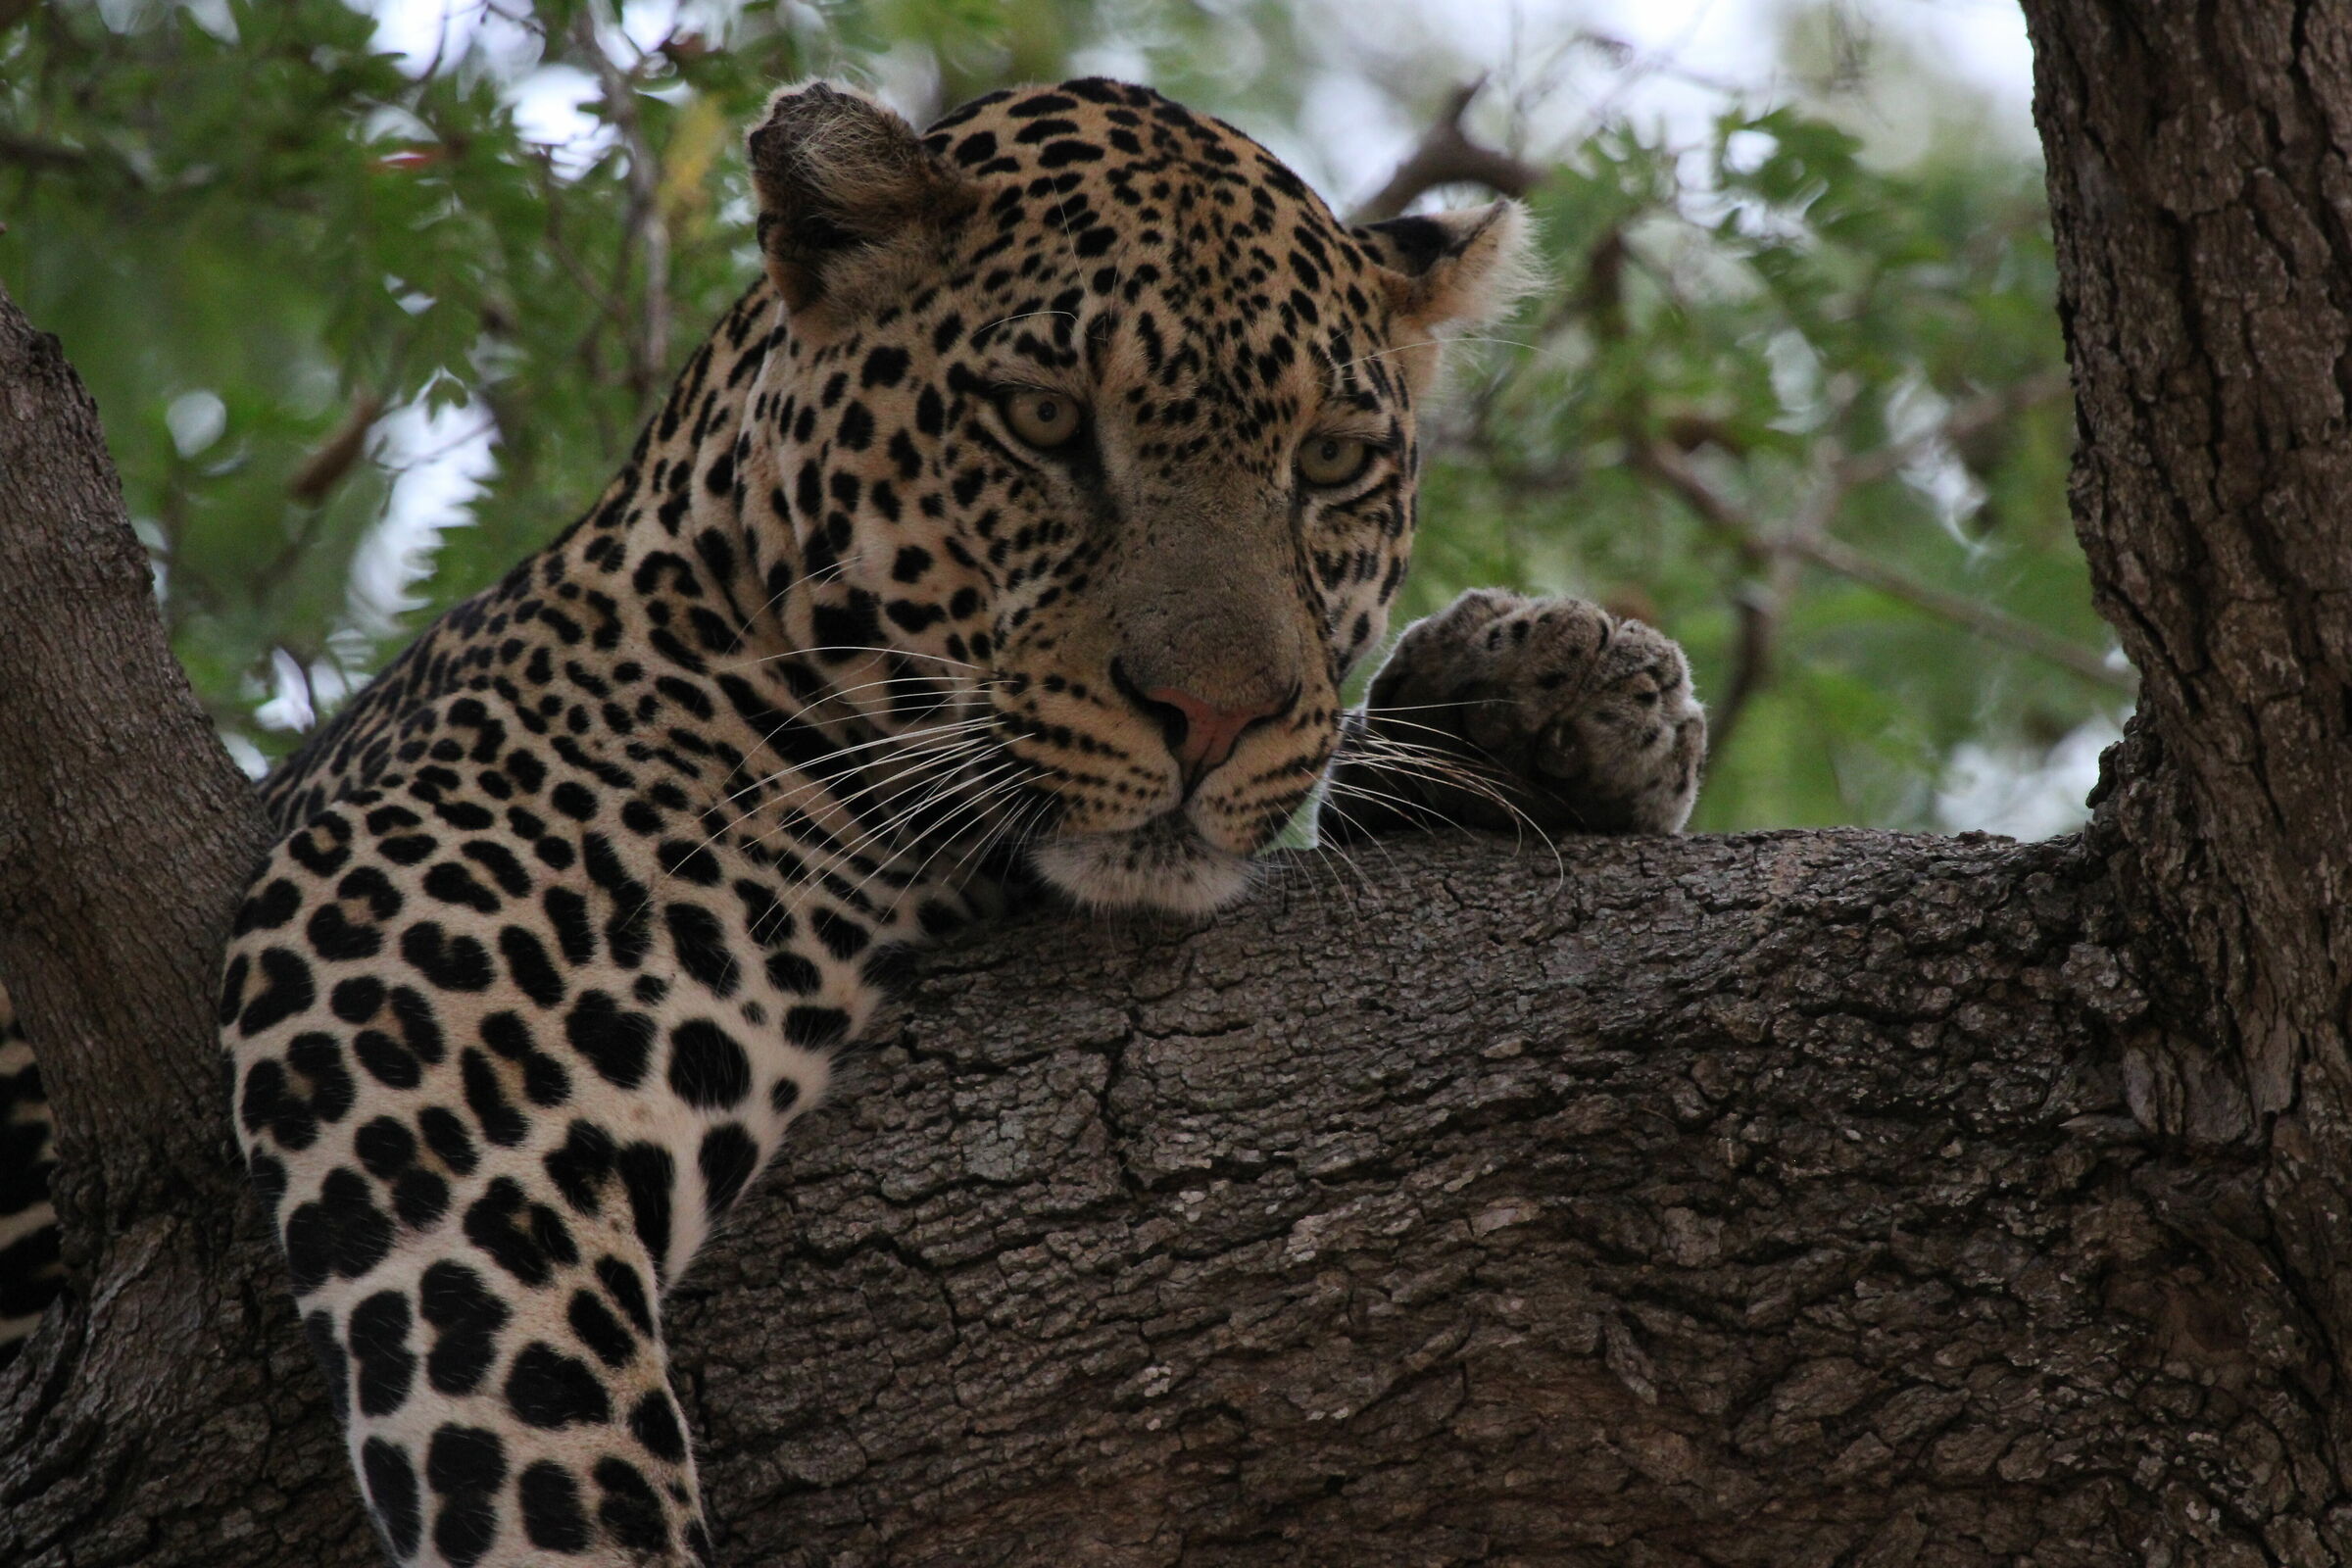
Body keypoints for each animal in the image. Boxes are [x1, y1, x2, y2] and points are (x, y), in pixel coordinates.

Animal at [0, 77, 1705, 1566]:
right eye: (1041, 420)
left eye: (1333, 462)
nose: (1210, 716)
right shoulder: (413, 951)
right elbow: (535, 1431)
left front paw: (1554, 697)